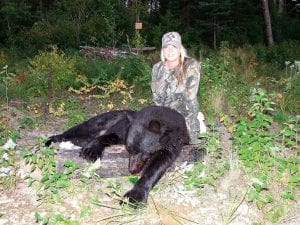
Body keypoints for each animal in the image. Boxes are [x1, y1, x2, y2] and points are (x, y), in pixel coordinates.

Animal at [45, 105, 189, 204]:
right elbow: (109, 135)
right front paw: (92, 150)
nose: (131, 170)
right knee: (78, 130)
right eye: (129, 150)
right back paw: (52, 141)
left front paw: (135, 196)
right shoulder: (123, 129)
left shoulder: (174, 144)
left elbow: (157, 165)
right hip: (100, 121)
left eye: (142, 152)